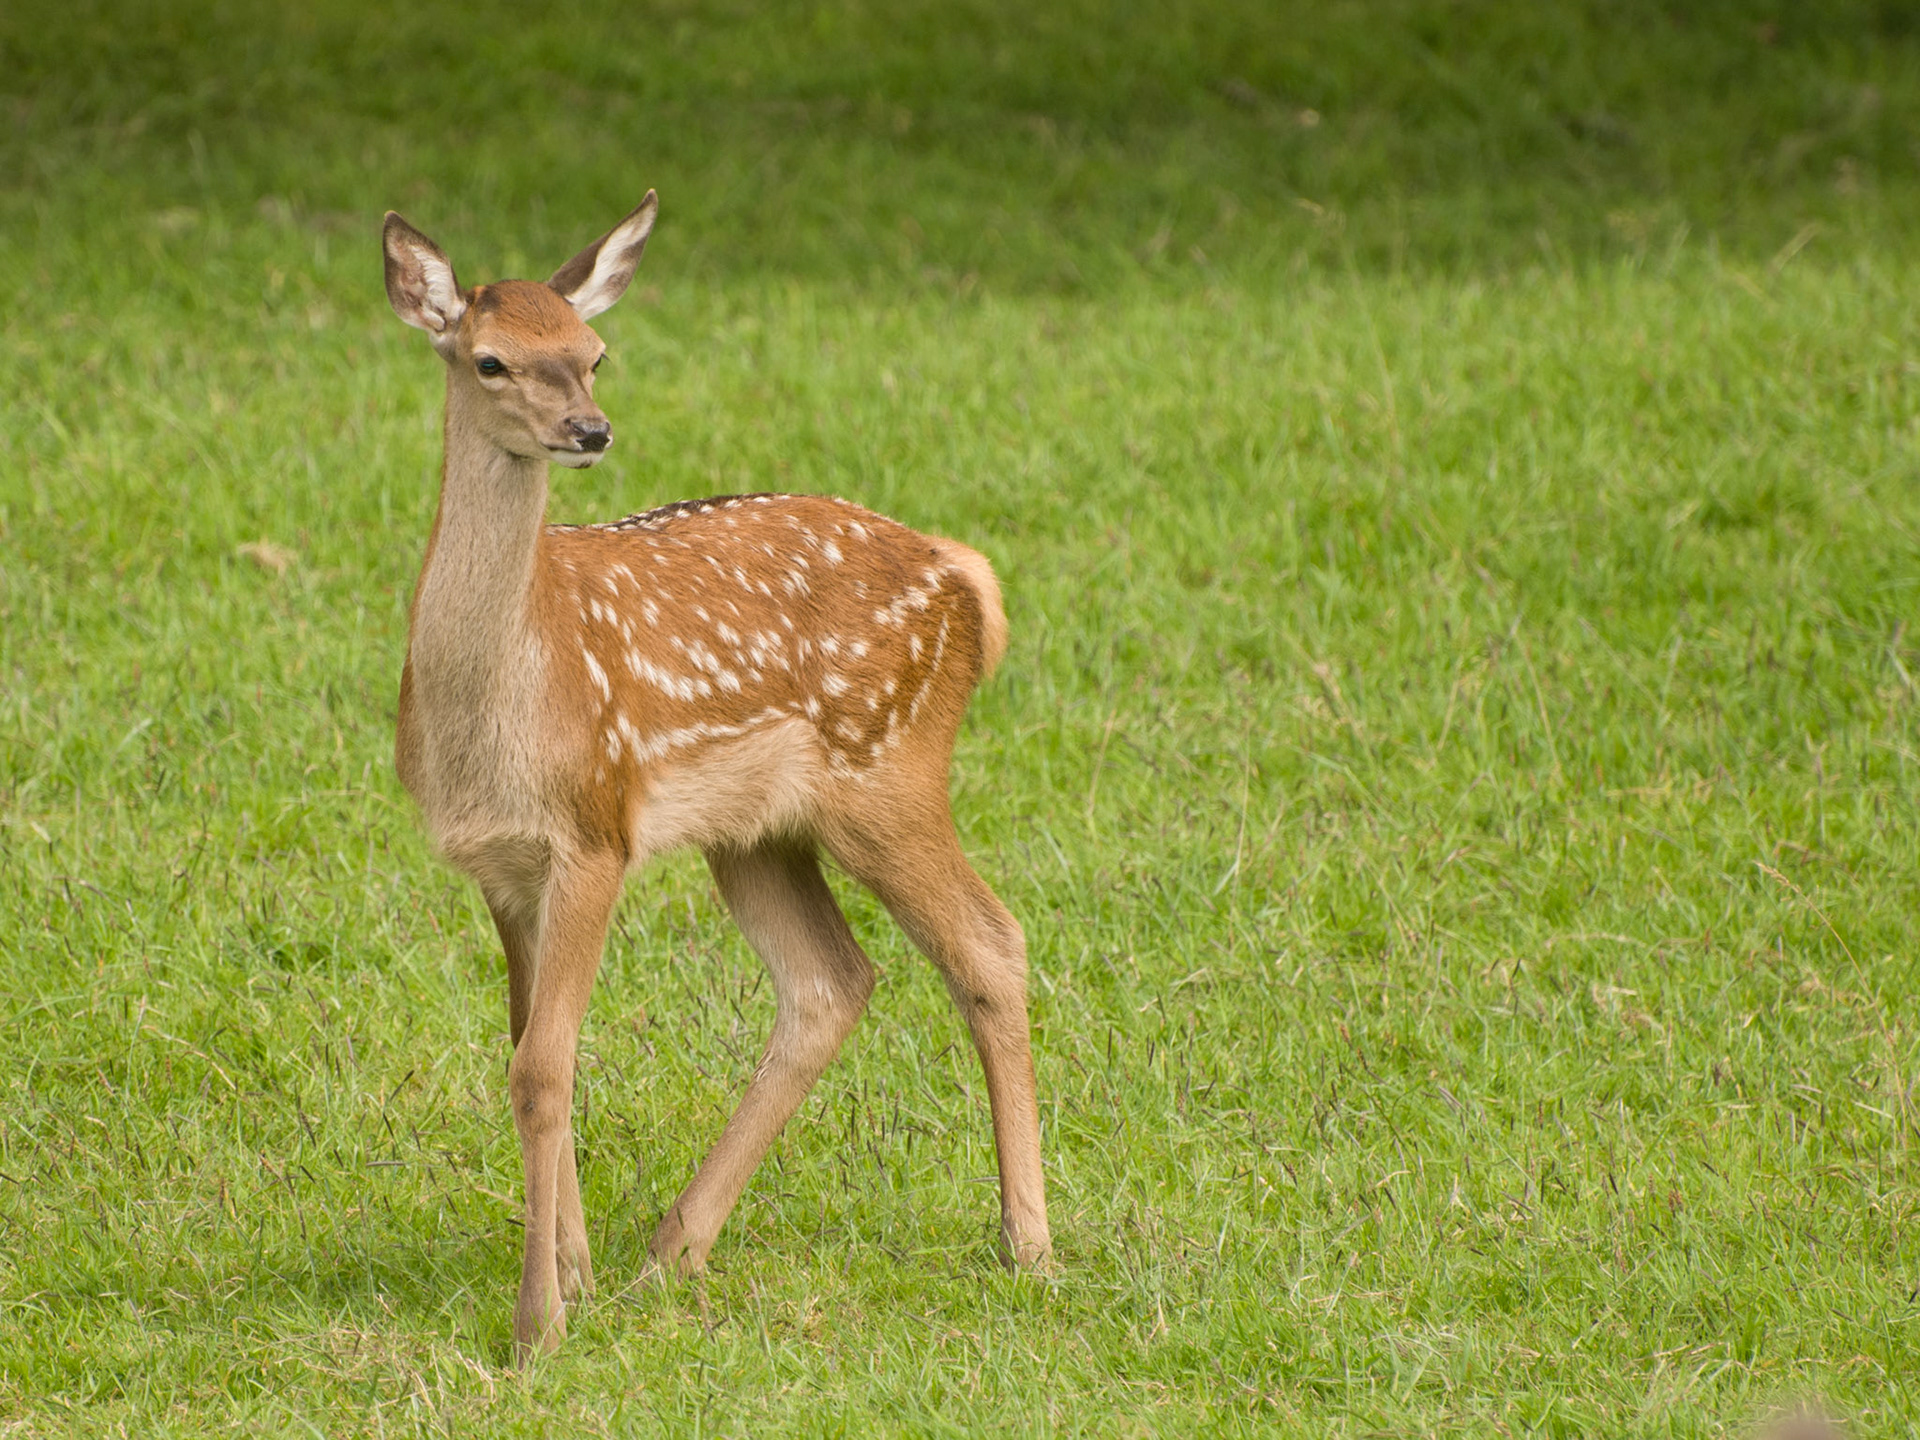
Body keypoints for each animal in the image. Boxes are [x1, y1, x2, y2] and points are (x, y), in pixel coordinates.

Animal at [379, 193, 1050, 1363]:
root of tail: (968, 578)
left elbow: (542, 1067)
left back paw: (1030, 1244)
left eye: (594, 353)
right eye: (492, 360)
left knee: (988, 943)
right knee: (833, 980)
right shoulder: (501, 866)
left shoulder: (596, 830)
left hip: (888, 771)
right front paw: (576, 1273)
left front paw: (538, 1325)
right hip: (758, 832)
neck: (496, 713)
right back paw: (672, 1251)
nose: (591, 430)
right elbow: (529, 1050)